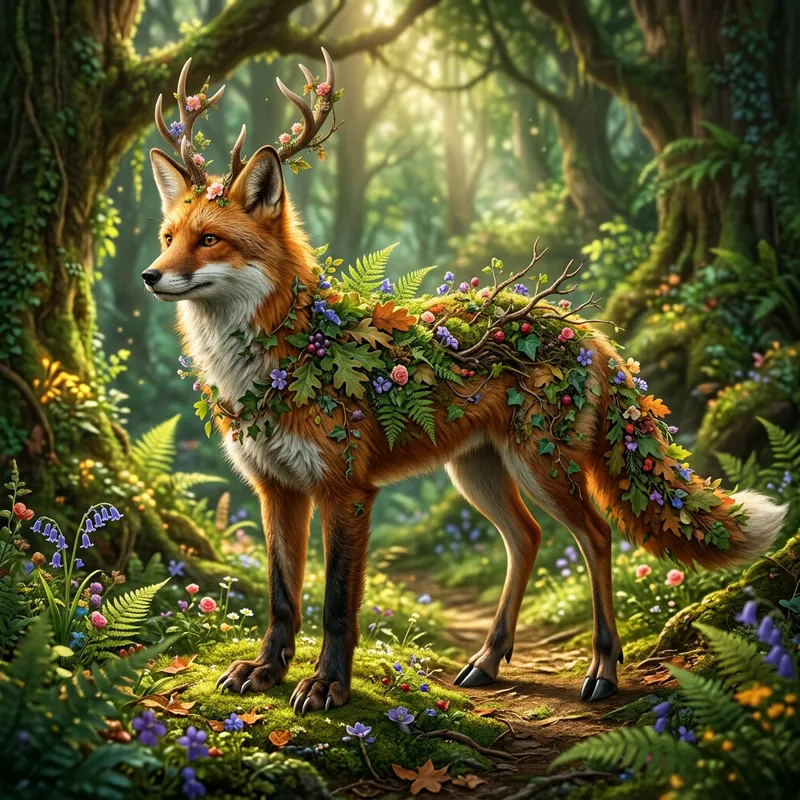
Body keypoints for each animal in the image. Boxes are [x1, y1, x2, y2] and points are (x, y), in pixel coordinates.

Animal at [143, 51, 786, 715]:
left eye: (210, 239)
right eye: (169, 237)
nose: (150, 275)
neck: (275, 367)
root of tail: (584, 328)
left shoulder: (346, 491)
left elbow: (337, 604)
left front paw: (328, 686)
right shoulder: (275, 488)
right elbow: (280, 595)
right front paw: (266, 670)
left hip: (542, 467)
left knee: (598, 536)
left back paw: (603, 669)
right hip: (477, 472)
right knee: (526, 538)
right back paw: (488, 659)